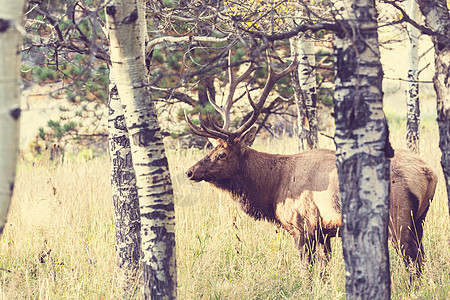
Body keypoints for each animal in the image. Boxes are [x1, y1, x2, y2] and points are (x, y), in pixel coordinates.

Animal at [185, 52, 438, 276]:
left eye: (222, 154)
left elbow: (307, 271)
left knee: (412, 262)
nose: (190, 171)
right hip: (420, 219)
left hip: (399, 217)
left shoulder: (302, 226)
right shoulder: (324, 232)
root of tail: (428, 173)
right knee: (421, 259)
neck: (273, 190)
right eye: (211, 149)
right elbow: (324, 271)